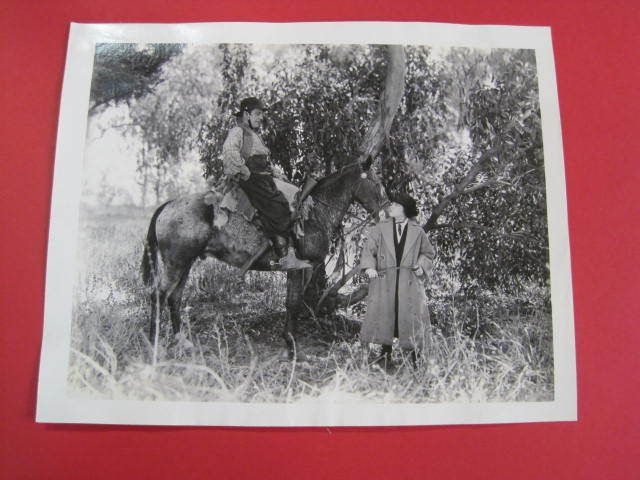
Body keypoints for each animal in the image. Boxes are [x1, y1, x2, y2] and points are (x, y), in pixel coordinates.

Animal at [141, 158, 384, 360]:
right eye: (376, 183)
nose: (383, 212)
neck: (315, 213)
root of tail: (169, 204)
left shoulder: (295, 269)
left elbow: (291, 302)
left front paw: (289, 342)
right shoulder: (298, 266)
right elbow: (294, 303)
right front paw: (292, 347)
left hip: (186, 263)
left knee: (175, 298)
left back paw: (181, 342)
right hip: (176, 263)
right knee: (158, 295)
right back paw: (154, 345)